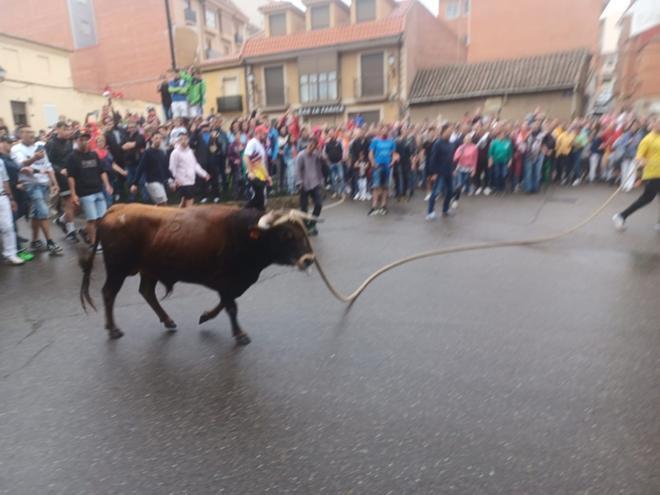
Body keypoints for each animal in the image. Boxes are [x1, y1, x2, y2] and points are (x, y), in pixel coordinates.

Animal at [80, 203, 318, 346]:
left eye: (303, 230)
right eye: (286, 234)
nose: (309, 259)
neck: (242, 234)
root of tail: (116, 209)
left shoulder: (232, 283)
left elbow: (225, 303)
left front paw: (205, 316)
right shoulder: (226, 280)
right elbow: (231, 307)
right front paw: (240, 334)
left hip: (149, 269)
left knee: (147, 292)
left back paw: (168, 320)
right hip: (118, 269)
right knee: (109, 293)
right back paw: (113, 329)